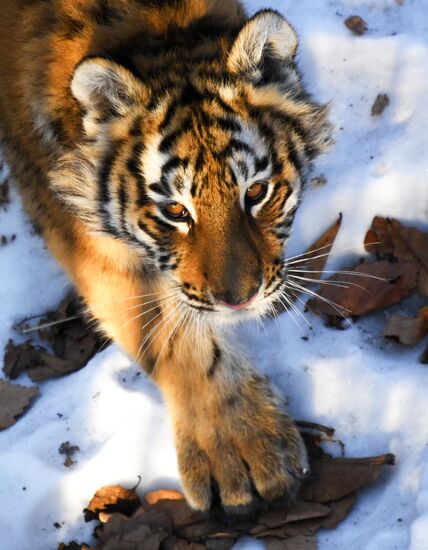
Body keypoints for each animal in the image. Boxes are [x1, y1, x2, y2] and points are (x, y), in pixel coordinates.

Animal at [0, 0, 332, 516]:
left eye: (256, 192)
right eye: (175, 211)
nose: (239, 299)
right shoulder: (76, 226)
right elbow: (173, 335)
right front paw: (244, 450)